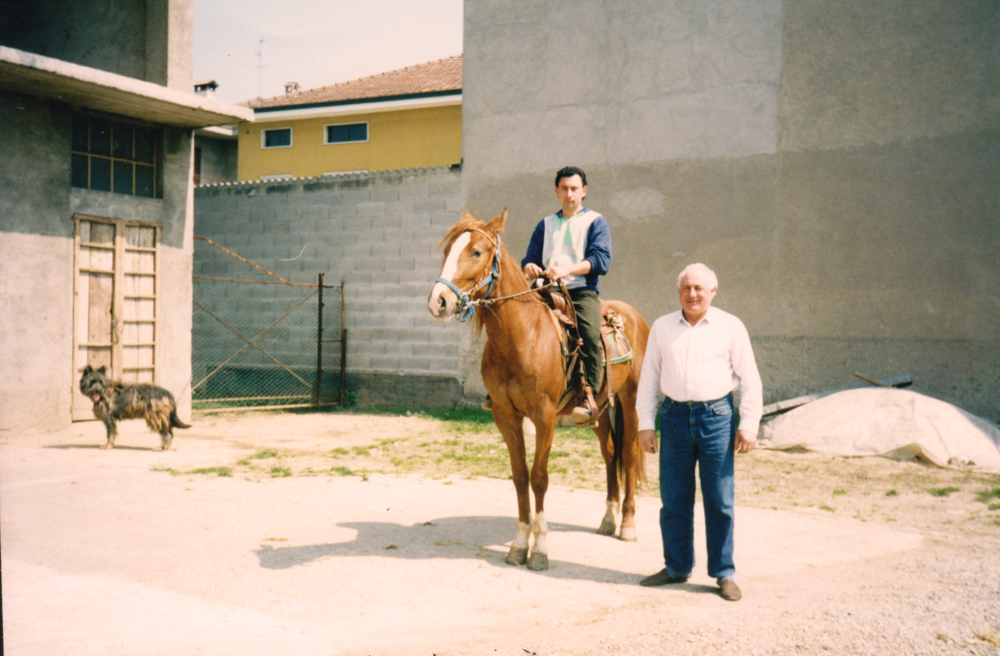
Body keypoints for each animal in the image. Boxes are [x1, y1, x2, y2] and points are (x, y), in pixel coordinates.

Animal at [428, 210, 648, 568]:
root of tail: (632, 316)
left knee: (627, 454)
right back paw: (607, 519)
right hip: (598, 409)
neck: (522, 335)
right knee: (610, 453)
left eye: (476, 252)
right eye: (448, 251)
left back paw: (627, 525)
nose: (439, 301)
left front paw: (540, 548)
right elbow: (519, 477)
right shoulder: (506, 415)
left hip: (631, 399)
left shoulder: (544, 416)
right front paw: (519, 544)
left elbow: (539, 478)